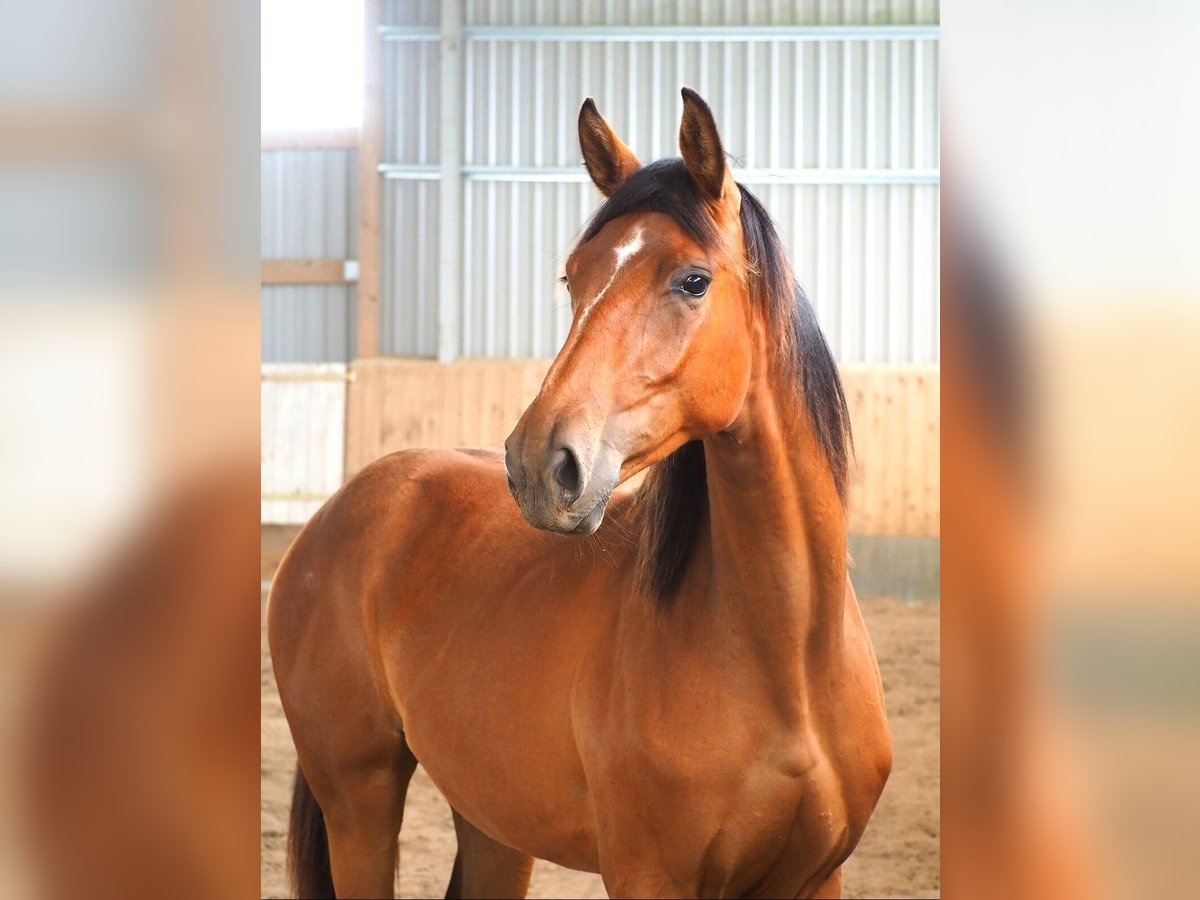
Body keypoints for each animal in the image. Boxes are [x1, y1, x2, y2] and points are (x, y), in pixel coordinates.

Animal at [272, 86, 892, 900]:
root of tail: (333, 517)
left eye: (693, 280)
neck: (788, 661)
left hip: (494, 826)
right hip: (360, 807)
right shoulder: (649, 878)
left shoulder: (816, 879)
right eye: (573, 276)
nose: (541, 463)